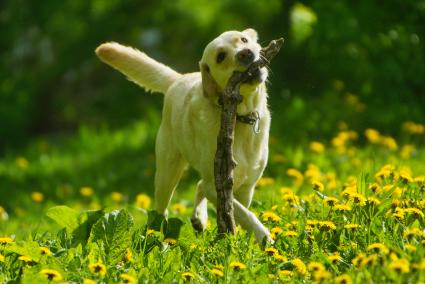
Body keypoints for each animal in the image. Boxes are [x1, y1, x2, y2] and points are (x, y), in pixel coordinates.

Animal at [95, 28, 272, 242]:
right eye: (221, 57)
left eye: (243, 40)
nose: (245, 53)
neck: (240, 118)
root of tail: (178, 78)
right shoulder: (218, 183)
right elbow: (244, 214)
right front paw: (264, 237)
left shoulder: (247, 186)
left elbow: (240, 213)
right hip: (167, 172)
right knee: (161, 208)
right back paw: (156, 234)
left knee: (199, 184)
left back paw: (199, 218)